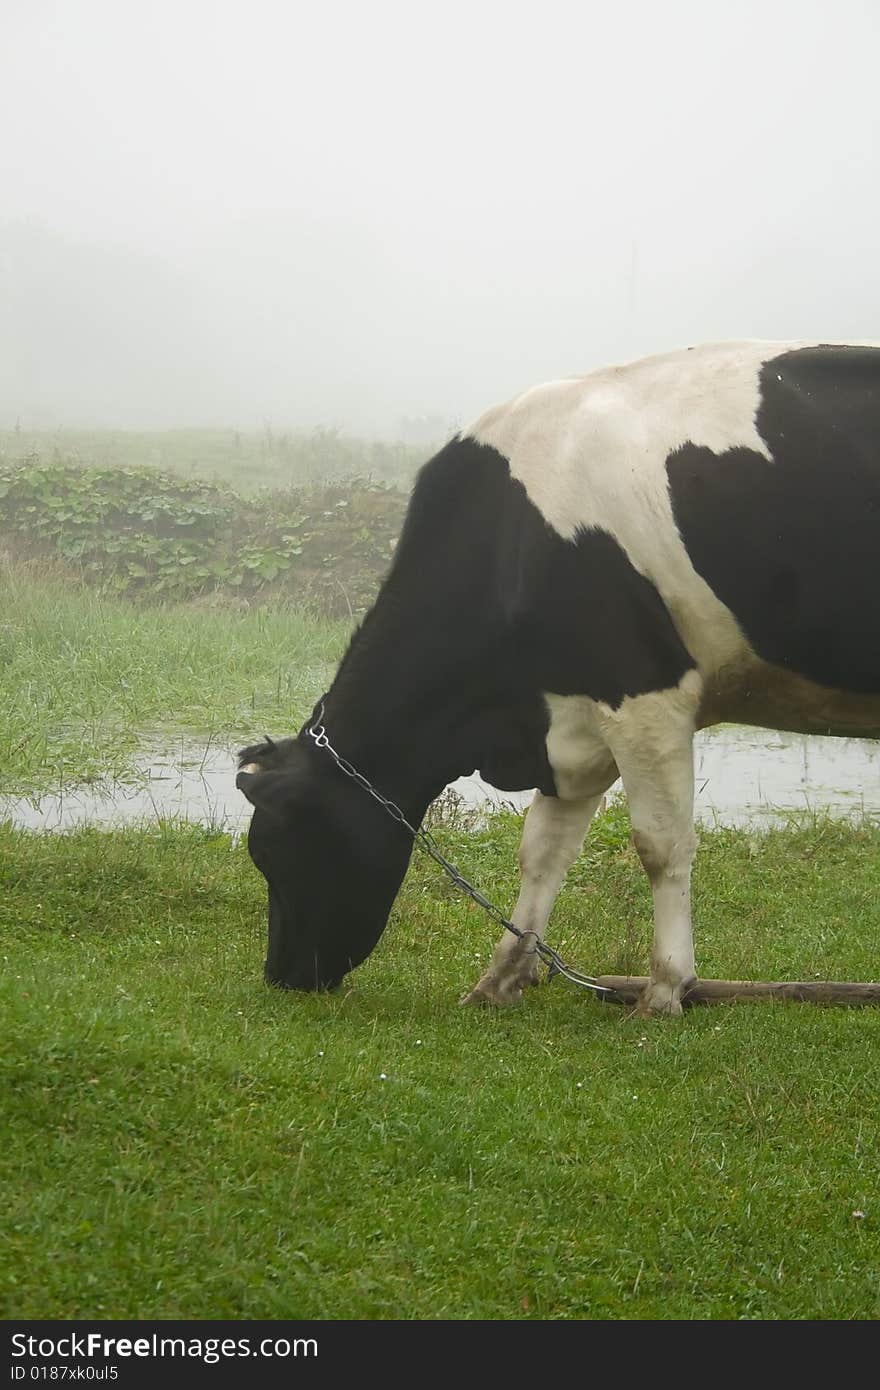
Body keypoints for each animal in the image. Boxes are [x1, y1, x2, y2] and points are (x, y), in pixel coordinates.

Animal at [234, 336, 878, 1011]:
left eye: (273, 851)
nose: (282, 974)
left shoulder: (643, 693)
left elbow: (661, 844)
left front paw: (665, 988)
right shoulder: (570, 710)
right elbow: (543, 851)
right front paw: (501, 978)